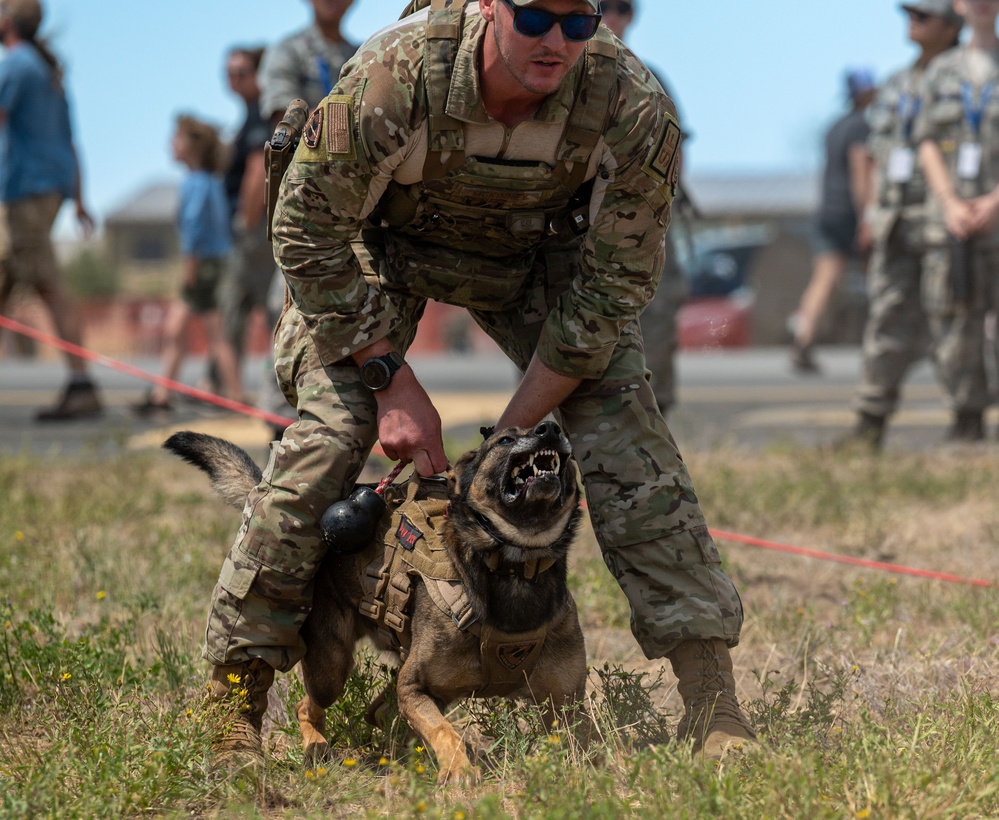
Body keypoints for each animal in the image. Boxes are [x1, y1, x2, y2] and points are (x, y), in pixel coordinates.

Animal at [164, 426, 584, 784]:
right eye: (505, 439)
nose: (550, 429)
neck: (517, 566)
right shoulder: (416, 688)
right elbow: (444, 731)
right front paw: (459, 771)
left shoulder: (566, 704)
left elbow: (578, 744)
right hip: (332, 669)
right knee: (308, 705)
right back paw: (317, 748)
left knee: (377, 710)